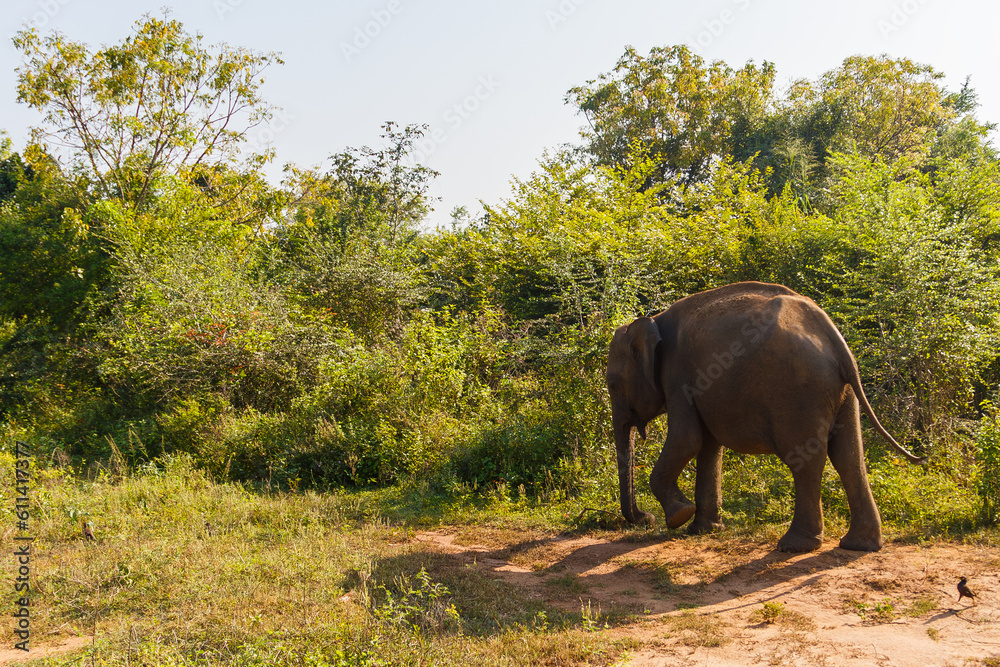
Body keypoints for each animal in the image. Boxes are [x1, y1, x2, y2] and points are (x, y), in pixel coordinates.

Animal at [606, 281, 925, 552]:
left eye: (611, 384)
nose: (645, 518)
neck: (654, 320)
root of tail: (834, 337)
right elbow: (708, 447)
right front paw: (702, 529)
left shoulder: (677, 375)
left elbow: (687, 440)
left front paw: (678, 517)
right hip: (842, 391)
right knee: (849, 455)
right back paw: (859, 546)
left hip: (797, 391)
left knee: (805, 459)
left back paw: (794, 546)